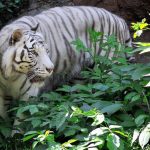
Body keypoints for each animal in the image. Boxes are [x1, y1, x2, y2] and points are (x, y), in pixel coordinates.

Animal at [0, 6, 131, 119]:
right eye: (34, 53)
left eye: (47, 51)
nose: (50, 69)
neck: (9, 74)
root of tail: (118, 19)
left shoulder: (28, 95)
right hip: (81, 76)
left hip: (109, 71)